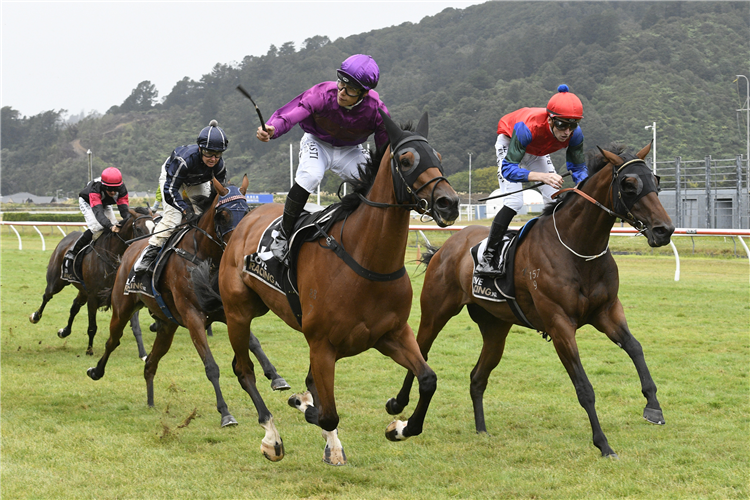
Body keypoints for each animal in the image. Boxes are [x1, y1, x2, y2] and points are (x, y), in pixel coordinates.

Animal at [30, 207, 156, 356]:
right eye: (138, 228)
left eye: (154, 227)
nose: (148, 247)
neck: (112, 255)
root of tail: (67, 237)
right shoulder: (93, 296)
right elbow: (92, 326)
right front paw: (89, 350)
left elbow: (131, 325)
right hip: (57, 282)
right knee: (47, 295)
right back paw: (35, 316)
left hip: (83, 290)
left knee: (74, 306)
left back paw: (64, 331)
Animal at [86, 176, 290, 426]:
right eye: (222, 214)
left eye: (246, 211)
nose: (237, 246)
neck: (205, 258)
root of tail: (130, 249)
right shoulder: (193, 317)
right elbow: (211, 366)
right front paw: (225, 413)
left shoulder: (226, 311)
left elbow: (254, 343)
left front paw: (276, 377)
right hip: (122, 308)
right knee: (112, 341)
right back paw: (96, 371)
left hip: (167, 326)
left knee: (151, 362)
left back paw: (150, 401)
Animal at [217, 112, 462, 464]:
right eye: (406, 160)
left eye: (438, 157)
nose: (449, 203)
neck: (368, 264)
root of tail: (245, 221)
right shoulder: (322, 345)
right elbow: (327, 413)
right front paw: (308, 411)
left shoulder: (392, 334)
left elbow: (428, 379)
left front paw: (399, 424)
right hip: (237, 312)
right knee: (243, 369)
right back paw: (271, 436)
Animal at [388, 142, 676, 458]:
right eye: (629, 184)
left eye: (656, 181)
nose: (664, 230)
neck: (578, 249)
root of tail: (446, 246)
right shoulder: (560, 324)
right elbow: (584, 388)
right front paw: (603, 443)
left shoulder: (607, 311)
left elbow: (635, 348)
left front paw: (653, 407)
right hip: (436, 311)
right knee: (421, 352)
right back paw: (398, 405)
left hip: (495, 327)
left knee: (477, 377)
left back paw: (481, 430)